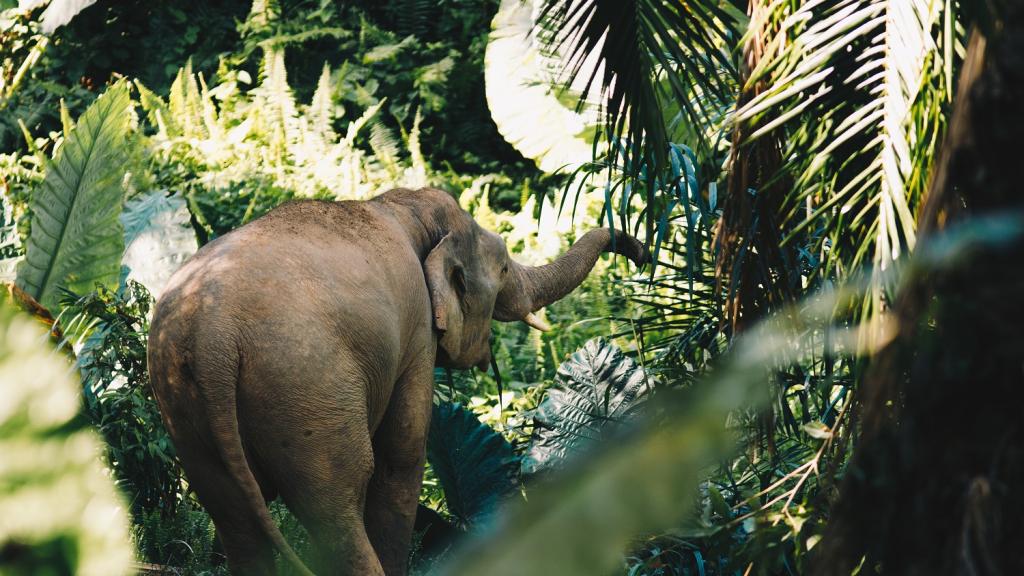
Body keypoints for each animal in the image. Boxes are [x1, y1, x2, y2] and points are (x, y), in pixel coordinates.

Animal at [147, 187, 648, 575]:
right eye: (505, 267)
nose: (642, 252)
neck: (403, 205)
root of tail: (213, 336)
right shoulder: (417, 333)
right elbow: (402, 455)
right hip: (305, 389)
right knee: (337, 502)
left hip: (184, 406)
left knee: (233, 517)